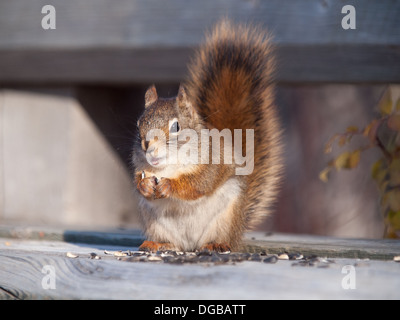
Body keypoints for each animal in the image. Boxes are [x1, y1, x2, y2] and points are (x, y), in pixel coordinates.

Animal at [133, 18, 282, 254]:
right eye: (139, 123)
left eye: (176, 126)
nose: (149, 148)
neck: (169, 165)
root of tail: (191, 245)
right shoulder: (140, 165)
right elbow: (137, 179)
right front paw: (145, 186)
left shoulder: (213, 161)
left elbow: (200, 182)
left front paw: (169, 186)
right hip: (154, 222)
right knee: (172, 242)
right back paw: (158, 243)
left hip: (226, 218)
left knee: (219, 238)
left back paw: (216, 244)